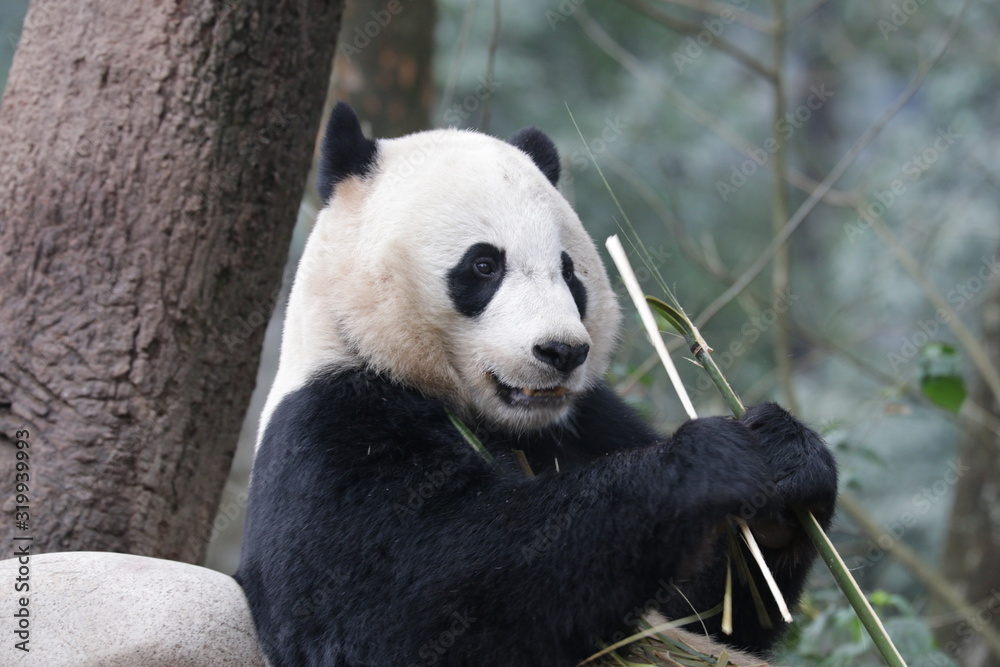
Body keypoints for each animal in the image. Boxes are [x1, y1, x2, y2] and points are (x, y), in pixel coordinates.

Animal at [235, 102, 838, 667]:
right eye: (484, 265)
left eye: (569, 271)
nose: (561, 351)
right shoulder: (331, 428)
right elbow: (402, 607)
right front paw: (707, 463)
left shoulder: (590, 421)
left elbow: (708, 615)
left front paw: (785, 462)